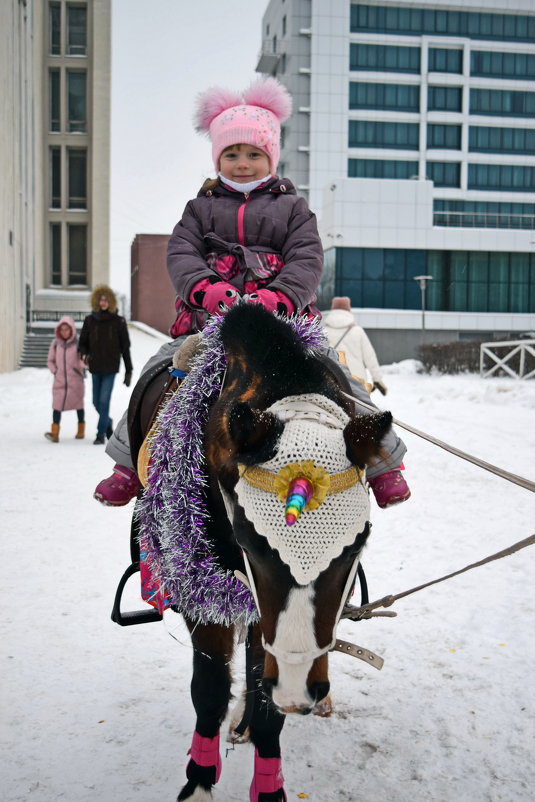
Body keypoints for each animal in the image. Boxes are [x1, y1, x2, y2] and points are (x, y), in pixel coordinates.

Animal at [130, 304, 392, 796]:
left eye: (358, 542)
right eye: (250, 538)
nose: (296, 689)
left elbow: (266, 699)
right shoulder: (201, 591)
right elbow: (210, 689)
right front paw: (199, 782)